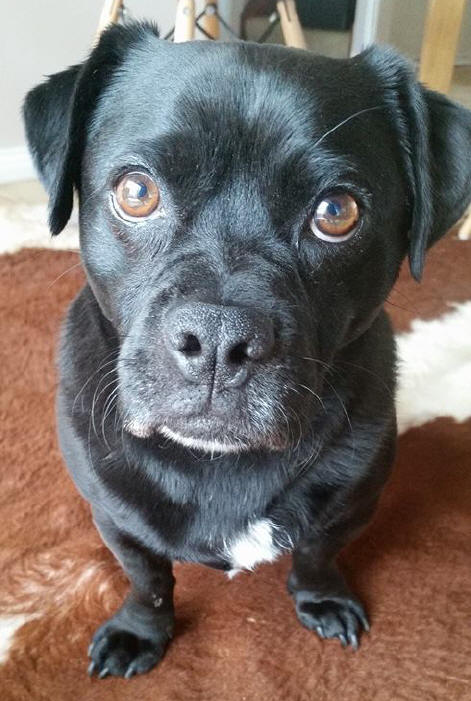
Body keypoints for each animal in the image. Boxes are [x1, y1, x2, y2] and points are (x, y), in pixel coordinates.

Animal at [24, 22, 471, 678]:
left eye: (337, 211)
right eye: (136, 191)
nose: (216, 337)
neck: (220, 462)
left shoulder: (351, 504)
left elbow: (316, 555)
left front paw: (322, 598)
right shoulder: (116, 520)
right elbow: (147, 580)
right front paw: (139, 632)